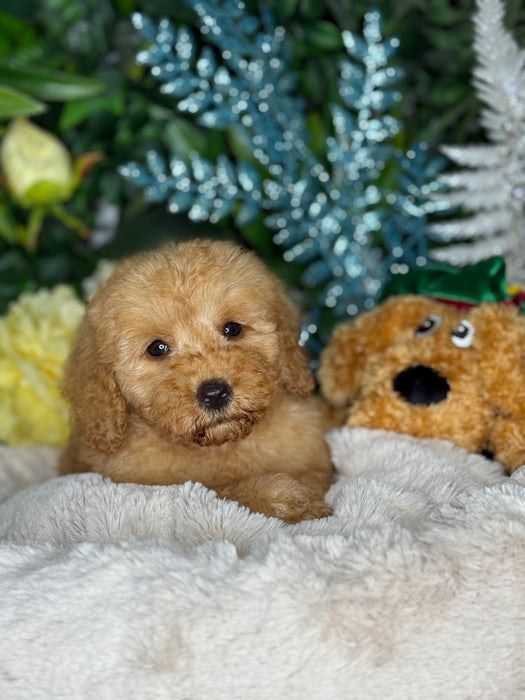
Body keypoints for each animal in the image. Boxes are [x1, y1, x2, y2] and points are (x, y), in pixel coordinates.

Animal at [60, 238, 332, 524]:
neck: (219, 444)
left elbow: (312, 475)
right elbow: (224, 491)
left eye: (232, 329)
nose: (214, 393)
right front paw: (286, 497)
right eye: (157, 348)